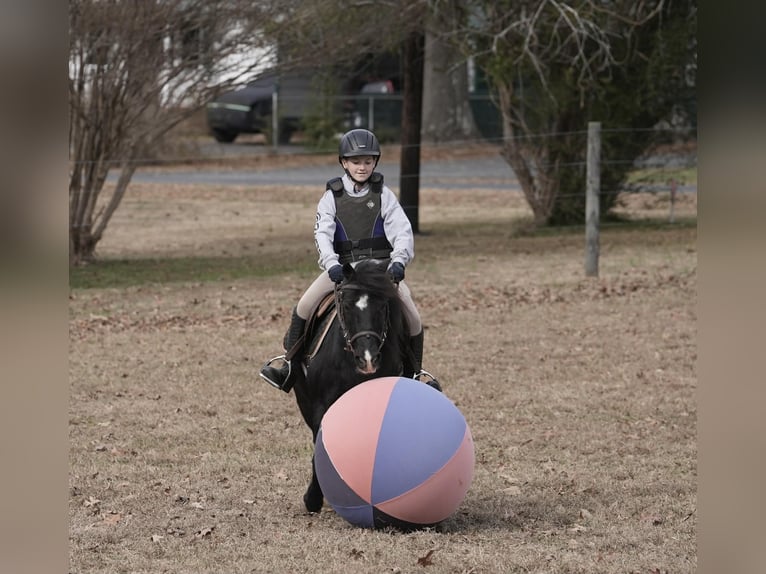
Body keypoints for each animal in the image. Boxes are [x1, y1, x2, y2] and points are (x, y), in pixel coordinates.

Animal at [290, 259, 413, 513]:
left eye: (382, 307)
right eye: (346, 307)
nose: (368, 360)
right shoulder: (321, 405)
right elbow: (321, 443)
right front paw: (313, 499)